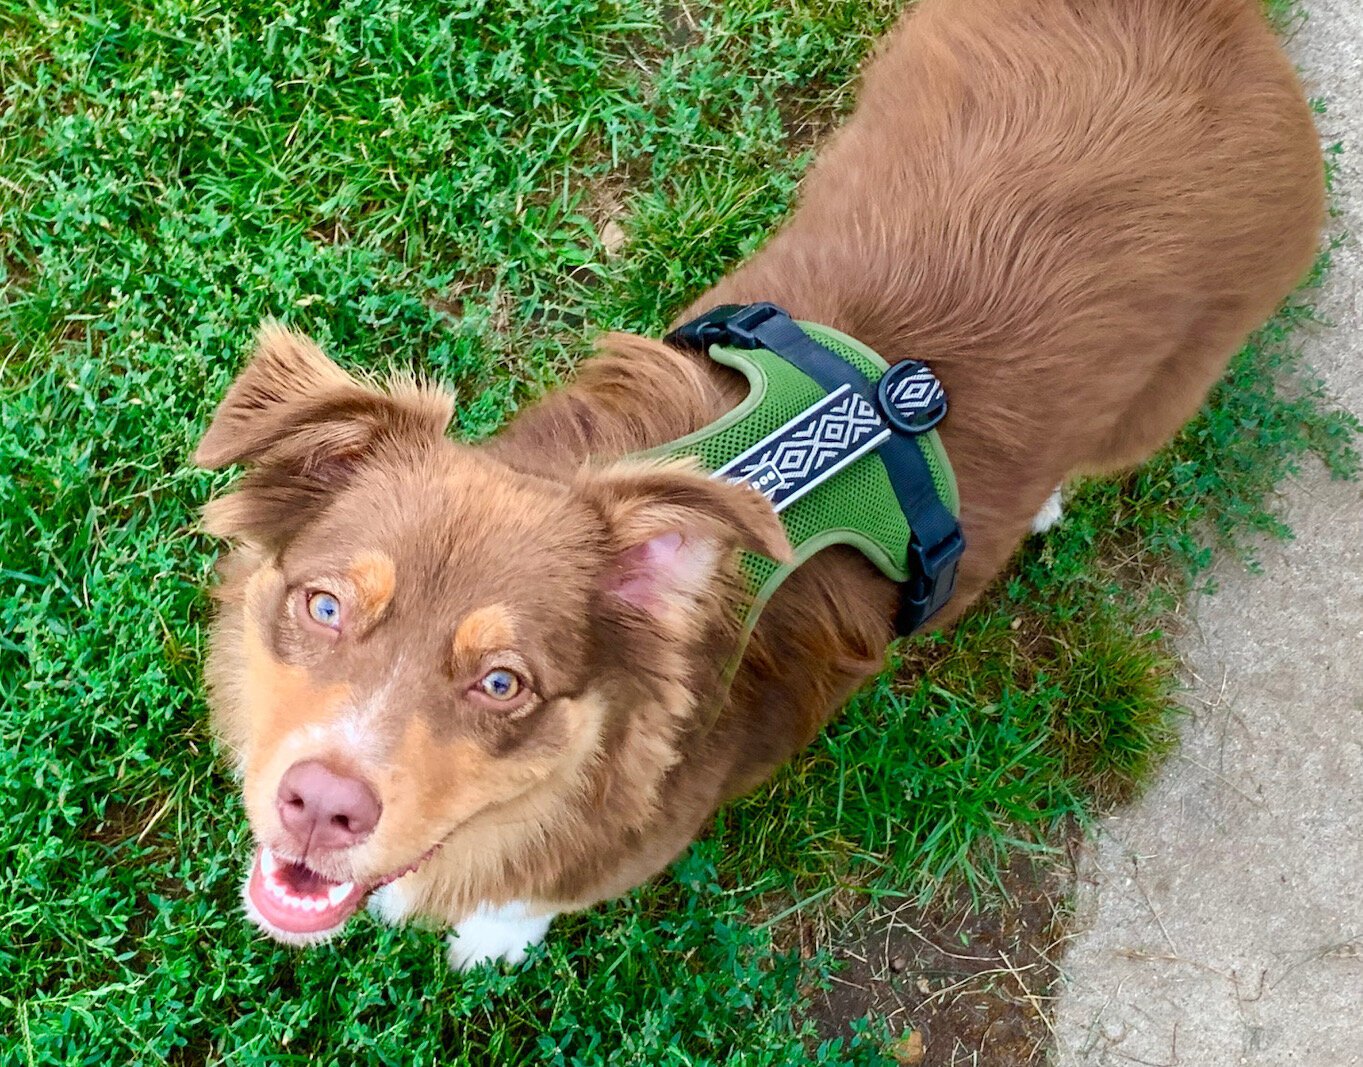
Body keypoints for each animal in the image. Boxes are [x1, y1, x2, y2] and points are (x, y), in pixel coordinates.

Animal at [192, 0, 1319, 970]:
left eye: (503, 682)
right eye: (324, 605)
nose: (319, 805)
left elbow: (532, 895)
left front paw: (491, 935)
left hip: (1169, 389)